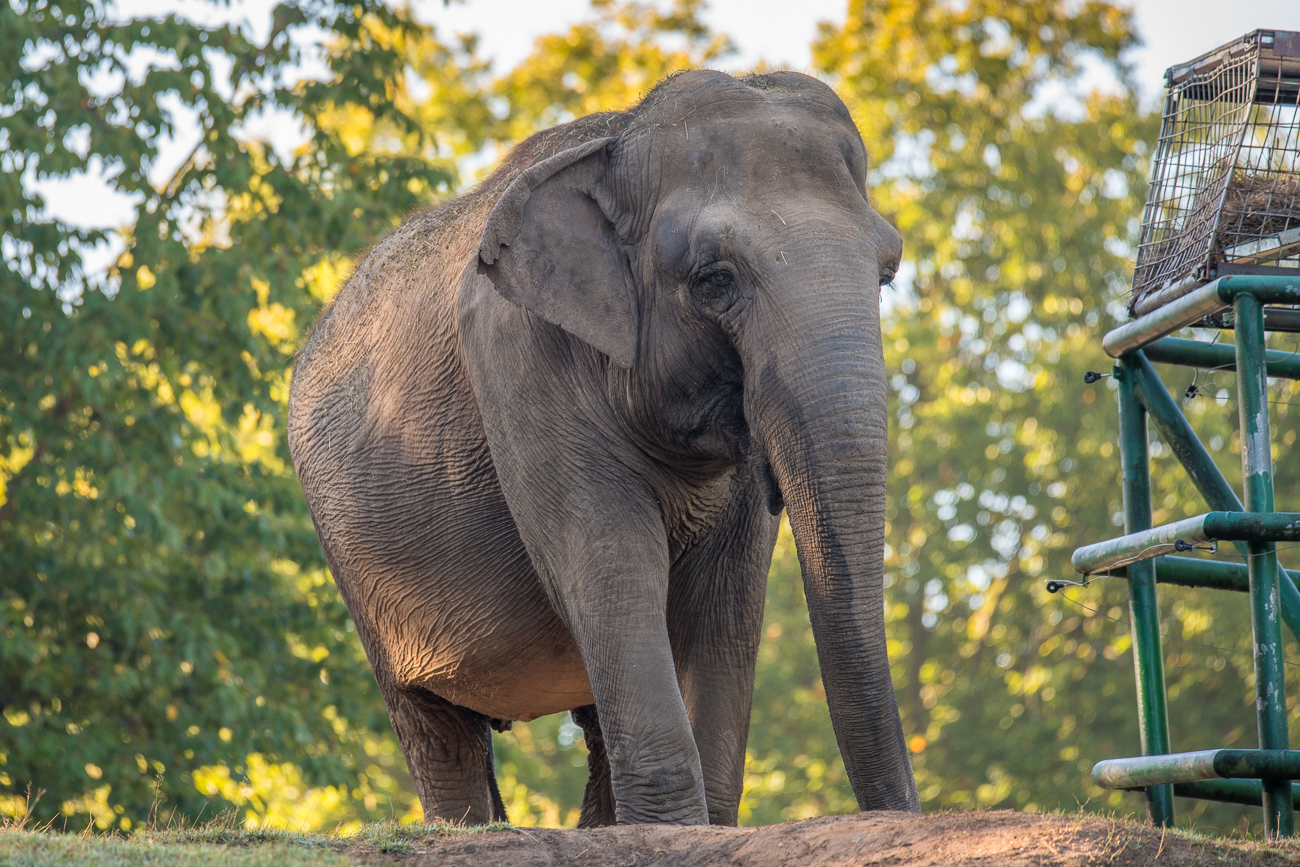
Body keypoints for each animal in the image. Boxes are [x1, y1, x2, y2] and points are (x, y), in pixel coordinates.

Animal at [286, 69, 917, 827]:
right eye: (714, 279)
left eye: (886, 272)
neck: (618, 141)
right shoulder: (521, 359)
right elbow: (610, 566)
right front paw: (674, 834)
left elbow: (727, 599)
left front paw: (697, 828)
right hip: (359, 569)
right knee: (436, 730)